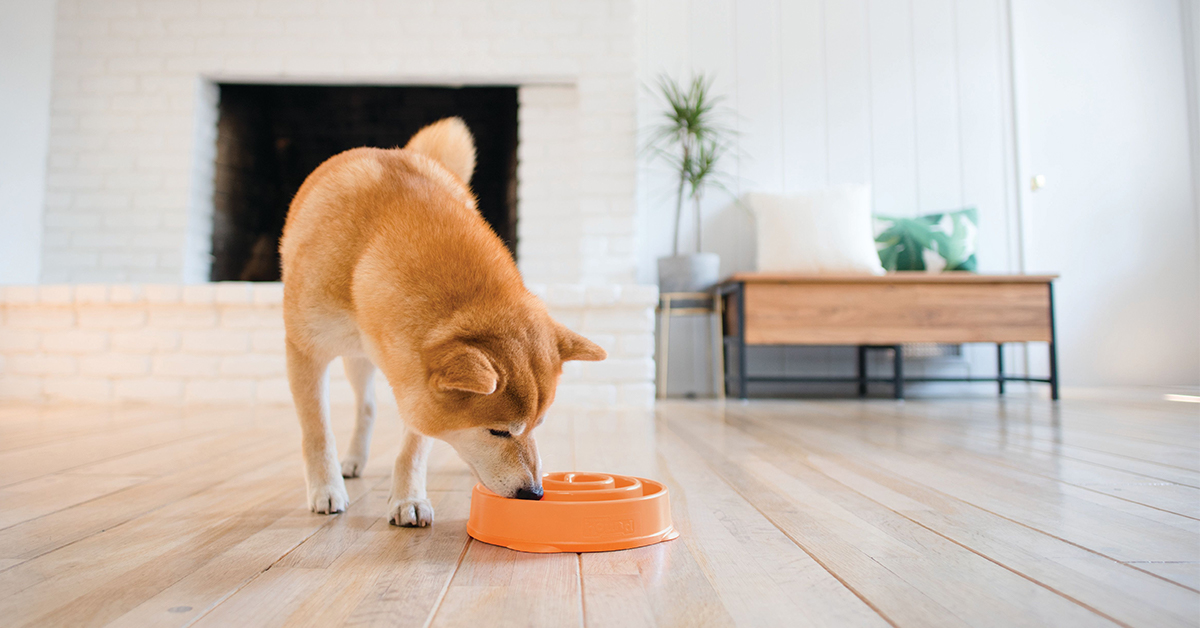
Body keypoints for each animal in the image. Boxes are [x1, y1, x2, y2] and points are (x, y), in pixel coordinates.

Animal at [277, 117, 604, 525]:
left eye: (537, 425)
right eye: (498, 432)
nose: (534, 493)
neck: (369, 245)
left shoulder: (413, 379)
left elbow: (415, 445)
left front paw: (408, 499)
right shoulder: (305, 351)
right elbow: (317, 431)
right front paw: (326, 488)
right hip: (351, 356)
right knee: (365, 406)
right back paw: (350, 462)